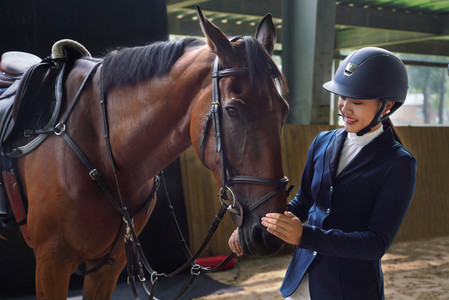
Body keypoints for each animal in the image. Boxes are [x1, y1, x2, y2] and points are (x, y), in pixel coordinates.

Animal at [13, 7, 290, 300]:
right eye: (232, 110)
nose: (269, 232)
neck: (99, 145)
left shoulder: (109, 264)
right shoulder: (51, 261)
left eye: (283, 110)